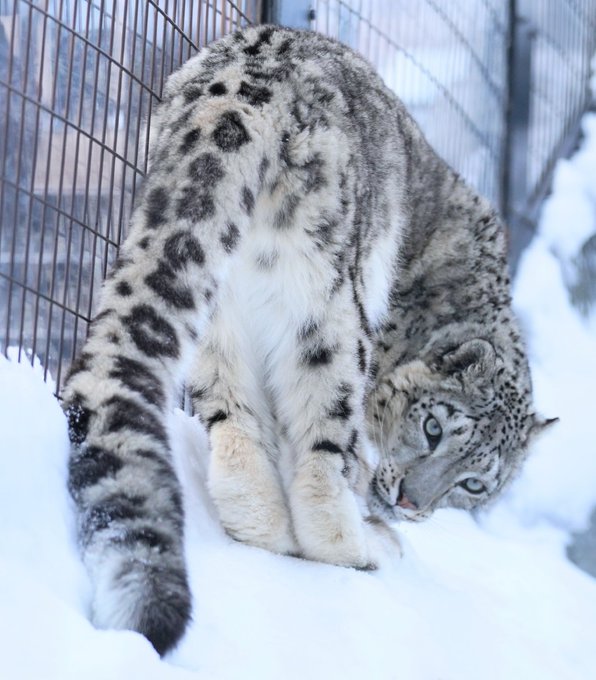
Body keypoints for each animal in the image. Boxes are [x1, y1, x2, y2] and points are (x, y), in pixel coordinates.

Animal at [60, 25, 556, 652]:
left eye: (472, 483)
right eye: (434, 427)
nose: (411, 502)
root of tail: (244, 90)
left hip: (220, 313)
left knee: (236, 419)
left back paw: (261, 523)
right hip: (329, 312)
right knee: (322, 442)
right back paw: (360, 545)